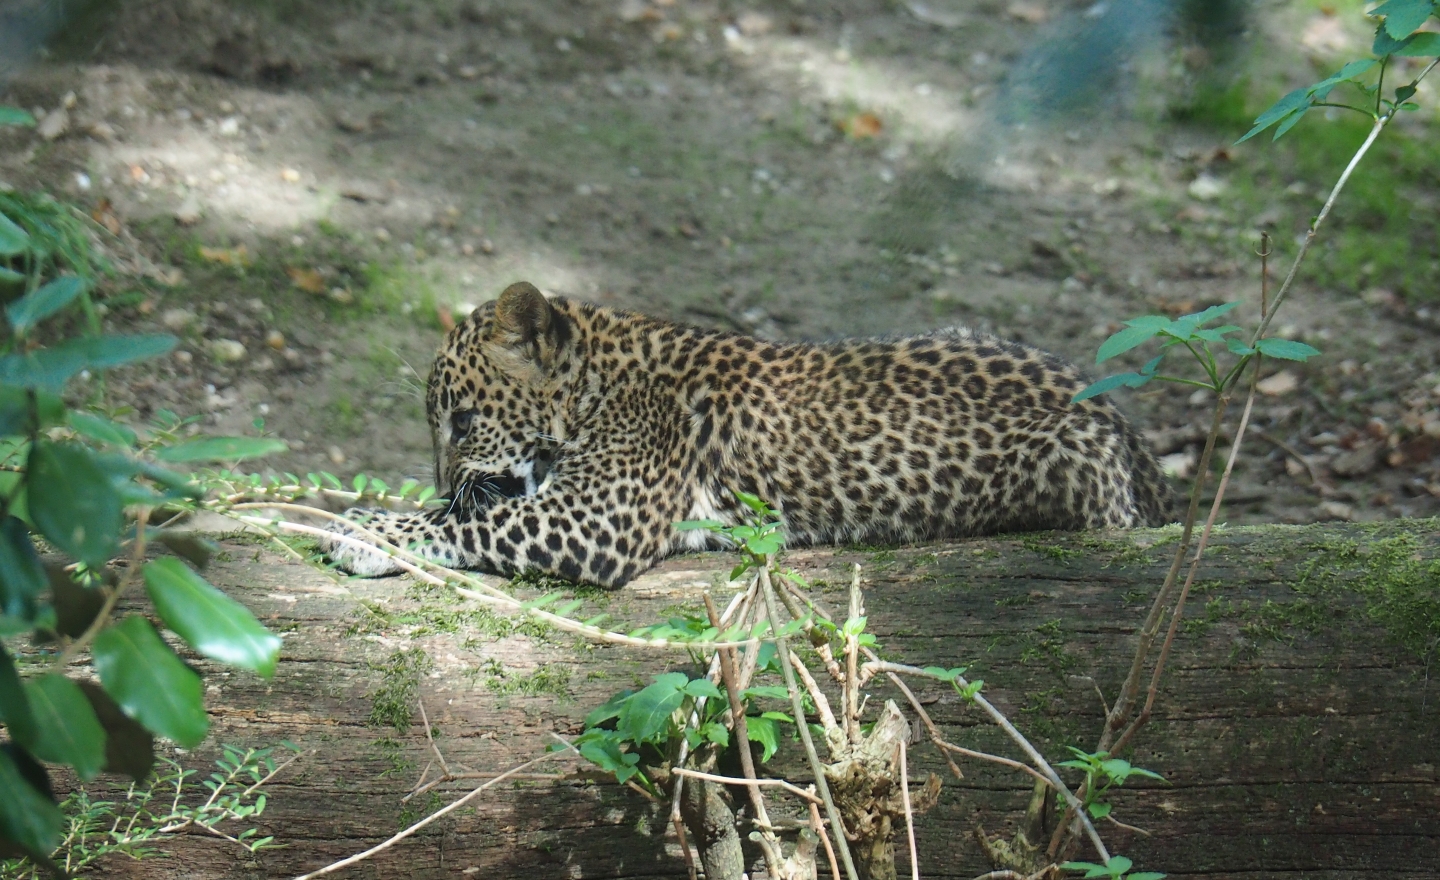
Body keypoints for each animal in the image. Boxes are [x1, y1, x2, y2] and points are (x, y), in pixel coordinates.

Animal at [323, 281, 1170, 587]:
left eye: (462, 422)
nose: (438, 476)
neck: (600, 378)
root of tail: (1134, 434)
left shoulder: (596, 521)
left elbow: (471, 522)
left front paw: (364, 533)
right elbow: (468, 512)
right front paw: (364, 511)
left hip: (1074, 465)